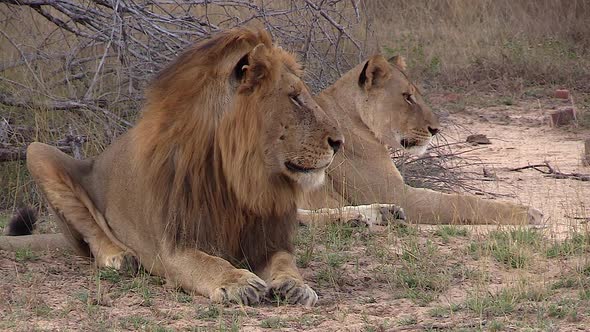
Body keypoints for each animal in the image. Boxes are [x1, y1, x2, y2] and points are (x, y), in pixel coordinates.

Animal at [15, 28, 346, 306]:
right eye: (295, 98)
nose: (339, 141)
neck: (240, 179)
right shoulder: (172, 246)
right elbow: (207, 262)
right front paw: (238, 281)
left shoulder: (268, 239)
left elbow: (285, 262)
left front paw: (296, 285)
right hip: (38, 152)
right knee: (91, 231)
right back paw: (119, 256)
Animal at [302, 55, 544, 226]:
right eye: (407, 97)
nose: (436, 129)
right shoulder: (398, 194)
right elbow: (461, 201)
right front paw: (529, 213)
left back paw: (380, 214)